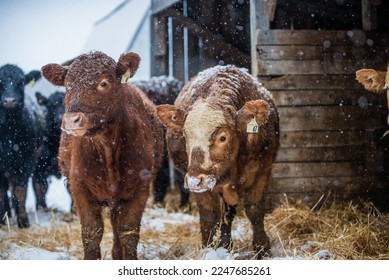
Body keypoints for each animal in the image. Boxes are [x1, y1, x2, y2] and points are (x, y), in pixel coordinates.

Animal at [41, 50, 163, 260]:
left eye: (104, 83)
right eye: (67, 85)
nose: (71, 120)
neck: (106, 149)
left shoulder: (141, 188)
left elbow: (128, 231)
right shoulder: (79, 187)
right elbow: (92, 232)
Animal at [155, 64, 278, 260]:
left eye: (222, 137)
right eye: (185, 135)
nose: (194, 180)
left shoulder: (263, 170)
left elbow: (255, 210)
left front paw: (263, 249)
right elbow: (210, 215)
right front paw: (208, 250)